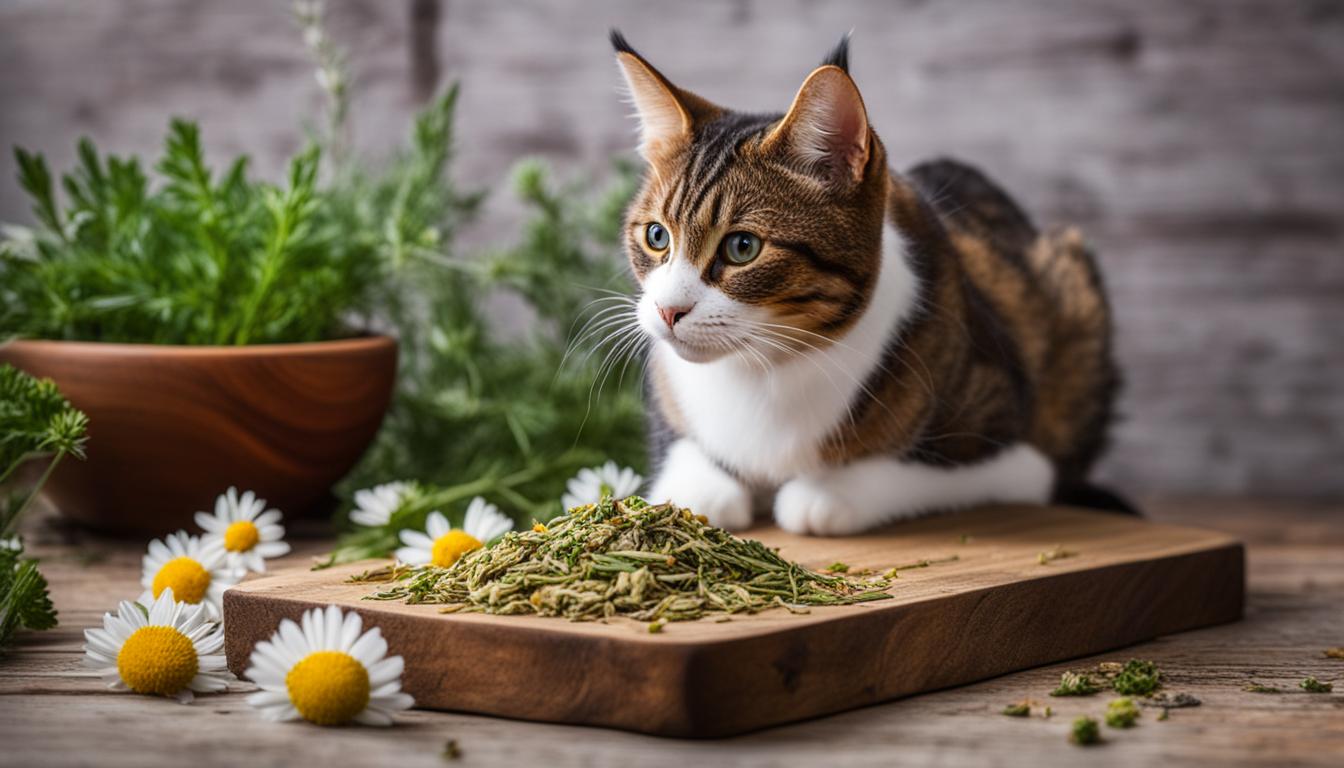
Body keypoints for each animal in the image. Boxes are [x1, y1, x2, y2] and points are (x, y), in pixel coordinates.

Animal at [615, 30, 1118, 535]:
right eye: (656, 236)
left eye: (742, 247)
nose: (668, 311)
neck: (762, 369)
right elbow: (698, 482)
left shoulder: (1019, 458)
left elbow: (892, 477)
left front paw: (824, 493)